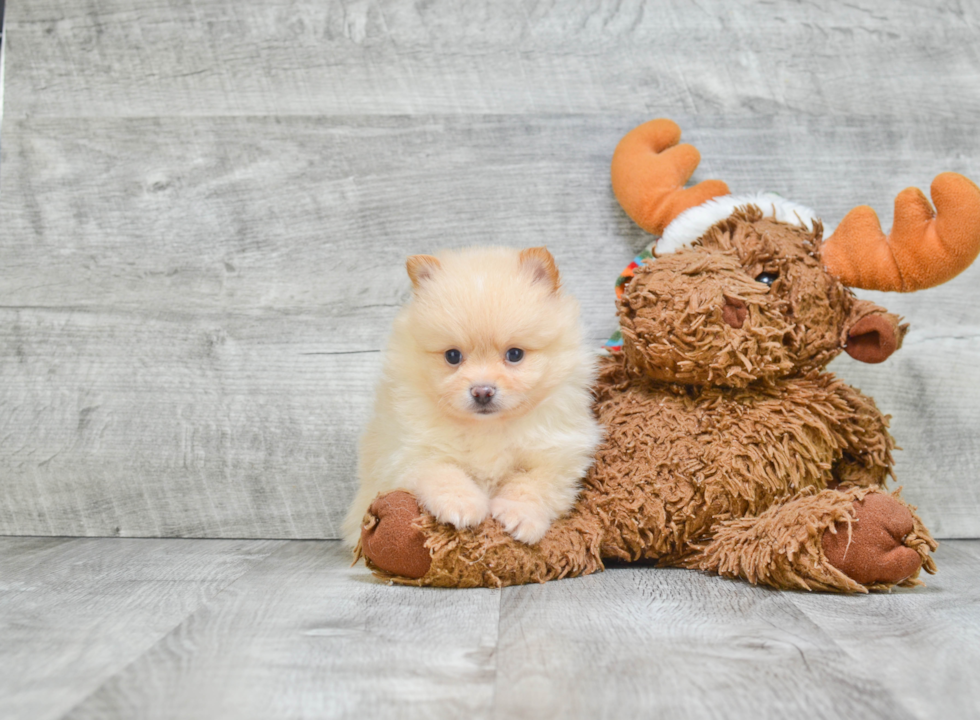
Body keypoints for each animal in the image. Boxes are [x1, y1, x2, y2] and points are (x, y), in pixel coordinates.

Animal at [344, 248, 604, 544]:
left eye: (515, 354)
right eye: (452, 356)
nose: (482, 391)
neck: (487, 428)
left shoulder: (559, 453)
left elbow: (533, 483)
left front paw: (521, 515)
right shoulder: (410, 452)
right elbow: (442, 471)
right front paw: (462, 504)